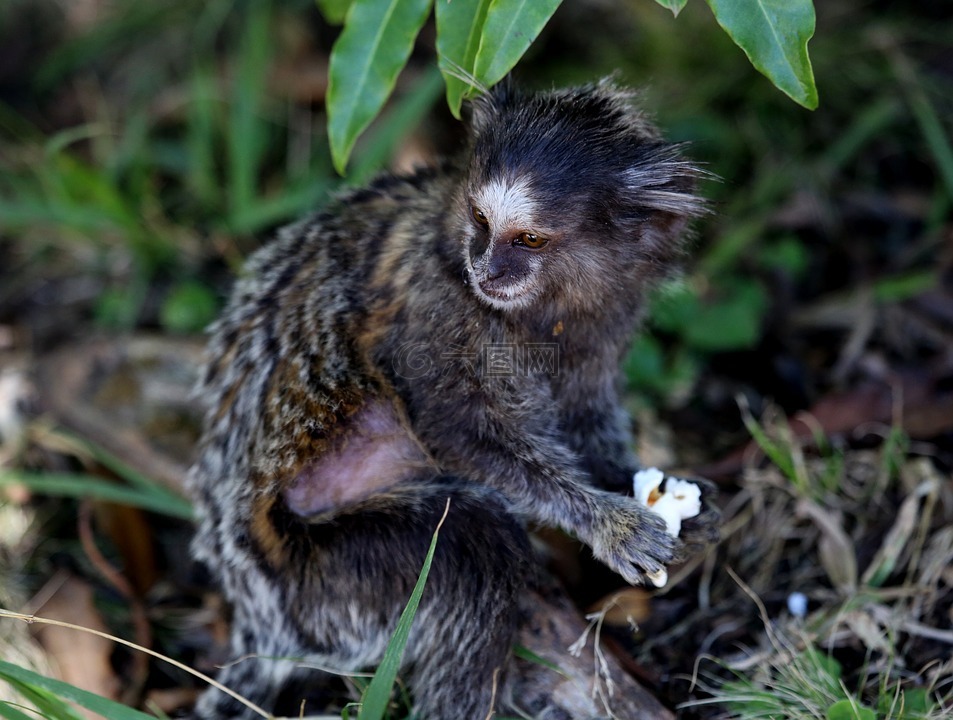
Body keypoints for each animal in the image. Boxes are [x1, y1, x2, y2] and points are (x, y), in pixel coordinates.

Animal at [192, 80, 712, 720]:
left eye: (530, 239)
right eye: (480, 220)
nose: (487, 268)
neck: (542, 309)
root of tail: (254, 609)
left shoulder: (607, 319)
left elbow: (583, 416)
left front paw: (645, 488)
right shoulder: (436, 306)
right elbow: (453, 428)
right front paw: (607, 522)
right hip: (323, 580)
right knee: (476, 542)